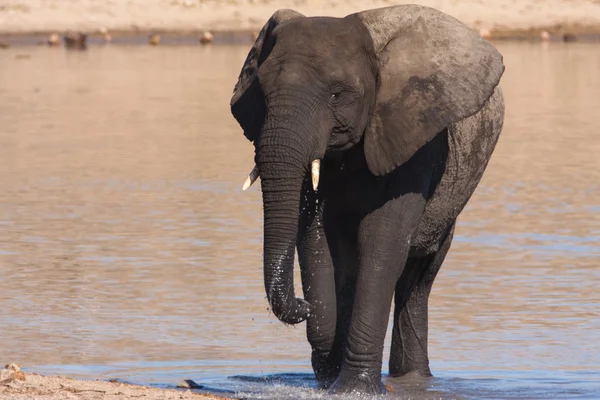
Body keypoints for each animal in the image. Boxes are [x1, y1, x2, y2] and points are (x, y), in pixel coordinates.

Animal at [232, 4, 504, 396]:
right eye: (262, 93)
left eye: (336, 94)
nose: (302, 303)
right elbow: (315, 235)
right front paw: (329, 369)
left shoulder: (416, 136)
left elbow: (382, 241)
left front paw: (353, 389)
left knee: (417, 281)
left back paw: (412, 380)